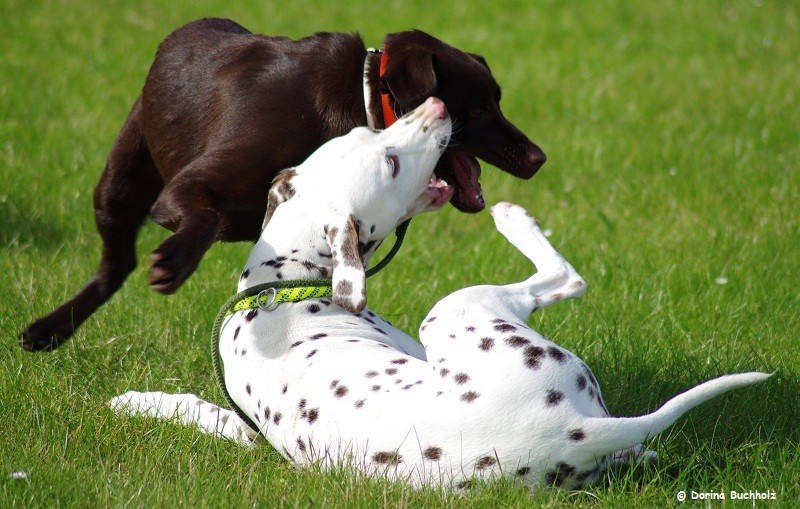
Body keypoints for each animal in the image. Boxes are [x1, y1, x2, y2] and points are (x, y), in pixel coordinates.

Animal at [18, 16, 548, 350]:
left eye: (497, 102)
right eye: (478, 109)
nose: (539, 158)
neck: (361, 97)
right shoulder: (188, 188)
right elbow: (203, 219)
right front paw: (176, 261)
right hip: (120, 181)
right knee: (116, 262)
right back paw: (50, 329)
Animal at [109, 97, 772, 490]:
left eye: (368, 129)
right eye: (393, 164)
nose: (437, 101)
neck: (283, 284)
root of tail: (573, 430)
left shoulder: (253, 436)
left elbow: (208, 413)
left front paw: (141, 401)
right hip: (454, 308)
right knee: (566, 277)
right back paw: (514, 218)